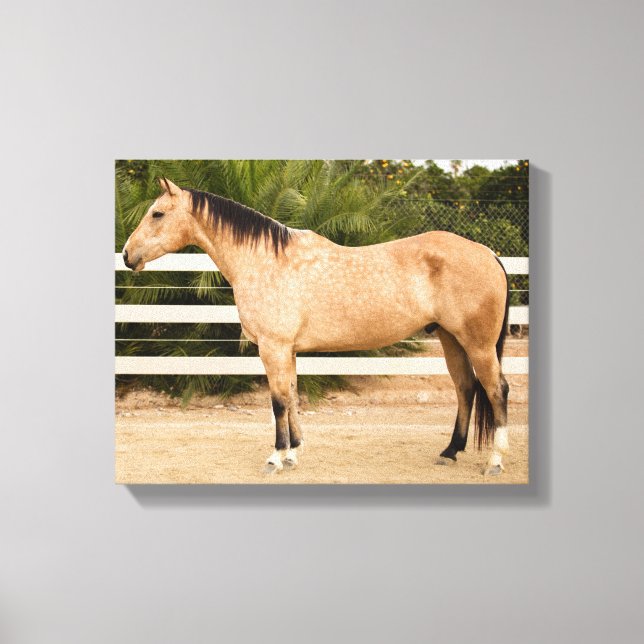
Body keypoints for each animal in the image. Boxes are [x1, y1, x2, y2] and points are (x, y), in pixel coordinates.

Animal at [122, 178, 511, 476]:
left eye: (157, 213)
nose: (127, 255)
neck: (264, 260)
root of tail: (488, 253)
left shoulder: (274, 347)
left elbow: (278, 401)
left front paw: (276, 457)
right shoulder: (288, 351)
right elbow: (292, 395)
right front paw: (294, 452)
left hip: (478, 344)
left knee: (496, 390)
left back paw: (494, 461)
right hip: (451, 339)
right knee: (465, 388)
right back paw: (450, 452)